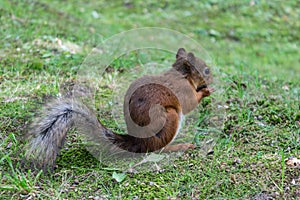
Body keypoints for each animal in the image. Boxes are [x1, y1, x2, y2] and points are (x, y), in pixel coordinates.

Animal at [25, 48, 213, 169]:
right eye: (206, 70)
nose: (213, 79)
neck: (182, 75)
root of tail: (138, 142)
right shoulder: (183, 90)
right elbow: (189, 103)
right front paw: (206, 92)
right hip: (170, 118)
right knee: (158, 148)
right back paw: (180, 146)